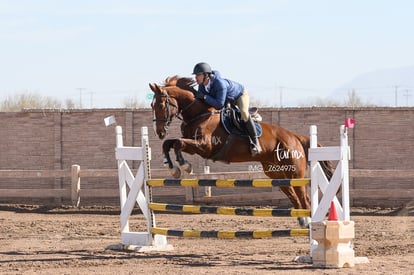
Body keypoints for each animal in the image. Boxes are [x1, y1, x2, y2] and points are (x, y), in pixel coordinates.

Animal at [149, 76, 334, 229]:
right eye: (152, 105)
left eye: (161, 105)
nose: (159, 132)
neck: (200, 114)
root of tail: (295, 137)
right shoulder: (193, 144)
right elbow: (169, 143)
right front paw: (172, 167)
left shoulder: (204, 147)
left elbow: (178, 143)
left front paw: (184, 165)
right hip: (276, 174)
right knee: (293, 195)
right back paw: (303, 220)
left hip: (294, 173)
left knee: (305, 198)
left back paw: (309, 223)